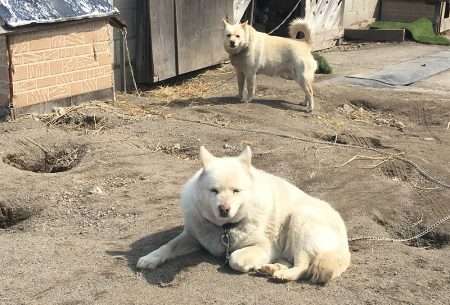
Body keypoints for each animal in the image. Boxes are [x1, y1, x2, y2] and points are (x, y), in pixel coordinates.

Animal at [137, 146, 352, 282]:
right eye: (213, 191)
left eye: (236, 191)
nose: (224, 209)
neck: (225, 229)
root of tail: (345, 245)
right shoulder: (192, 237)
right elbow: (168, 246)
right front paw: (150, 258)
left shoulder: (266, 247)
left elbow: (234, 258)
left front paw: (243, 262)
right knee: (289, 261)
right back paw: (270, 268)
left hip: (300, 221)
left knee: (304, 265)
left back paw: (284, 274)